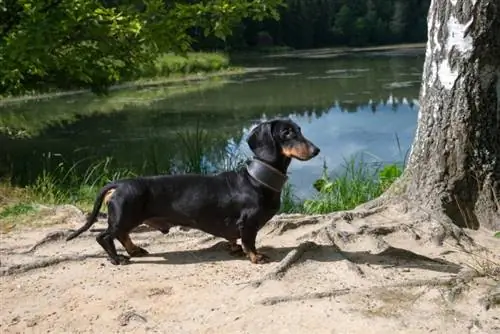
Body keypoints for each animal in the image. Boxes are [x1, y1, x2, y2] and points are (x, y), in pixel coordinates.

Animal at [66, 118, 320, 264]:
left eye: (299, 130)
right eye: (287, 133)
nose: (316, 150)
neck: (256, 180)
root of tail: (118, 184)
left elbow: (234, 240)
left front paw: (234, 249)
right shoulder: (248, 223)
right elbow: (250, 242)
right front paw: (255, 256)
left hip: (127, 218)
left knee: (121, 235)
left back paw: (135, 250)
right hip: (125, 216)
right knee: (105, 236)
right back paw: (118, 259)